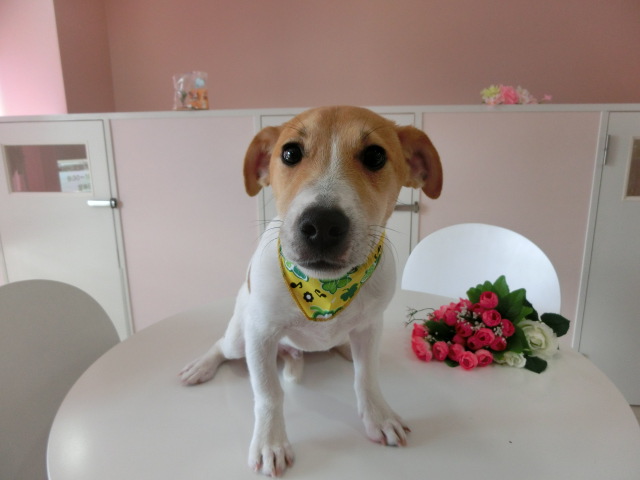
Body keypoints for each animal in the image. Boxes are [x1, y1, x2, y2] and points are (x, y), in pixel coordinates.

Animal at [180, 106, 442, 477]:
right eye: (289, 153)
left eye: (375, 156)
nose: (321, 225)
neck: (324, 289)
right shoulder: (260, 335)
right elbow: (268, 393)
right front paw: (270, 443)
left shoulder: (370, 327)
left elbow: (367, 378)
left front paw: (378, 416)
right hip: (239, 338)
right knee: (221, 346)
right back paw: (202, 366)